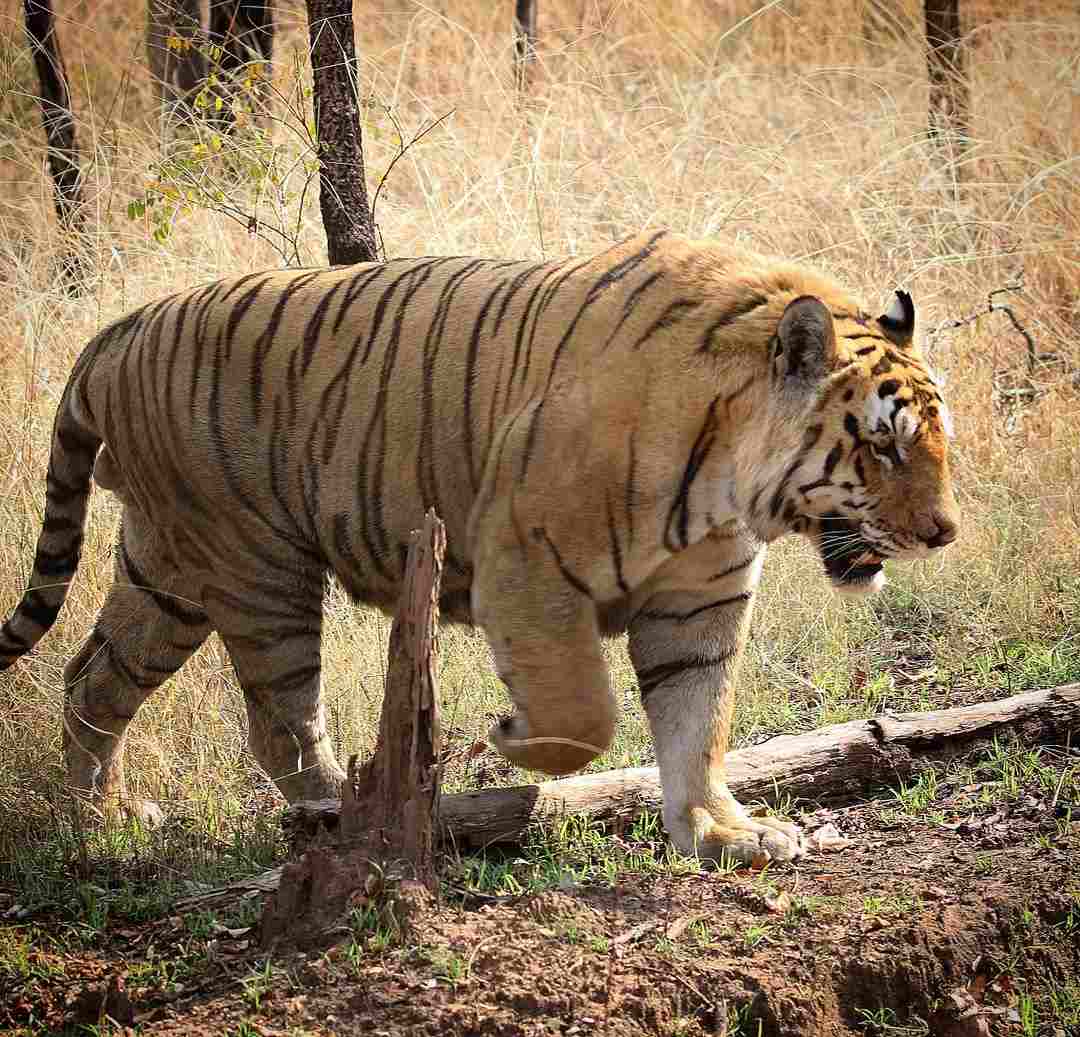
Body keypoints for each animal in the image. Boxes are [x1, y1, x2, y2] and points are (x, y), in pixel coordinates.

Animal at [0, 231, 959, 864]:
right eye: (885, 444)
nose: (944, 533)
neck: (728, 477)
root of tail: (116, 332)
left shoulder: (701, 598)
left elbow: (699, 720)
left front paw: (722, 831)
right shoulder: (525, 562)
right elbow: (585, 715)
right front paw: (512, 745)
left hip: (165, 572)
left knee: (92, 677)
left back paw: (102, 821)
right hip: (256, 570)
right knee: (279, 721)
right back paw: (336, 815)